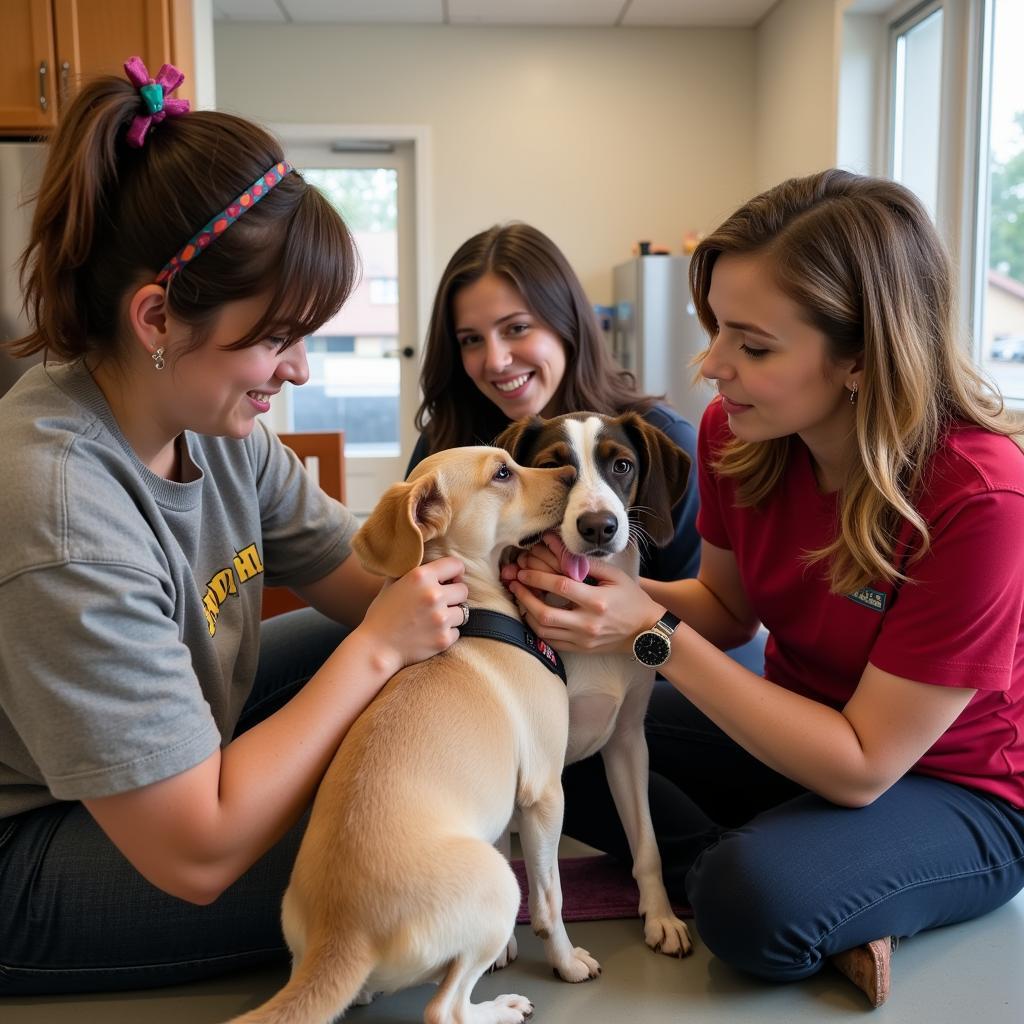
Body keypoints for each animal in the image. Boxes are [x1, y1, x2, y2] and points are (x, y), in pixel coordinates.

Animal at [229, 446, 598, 1024]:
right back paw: (501, 1007)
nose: (571, 472)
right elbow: (550, 898)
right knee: (444, 1010)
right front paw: (566, 960)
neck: (477, 610)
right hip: (498, 885)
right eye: (502, 473)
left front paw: (512, 952)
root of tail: (342, 935)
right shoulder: (543, 792)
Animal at [497, 409, 696, 958]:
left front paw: (662, 916)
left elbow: (647, 843)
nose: (599, 526)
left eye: (622, 465)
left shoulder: (628, 742)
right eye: (552, 468)